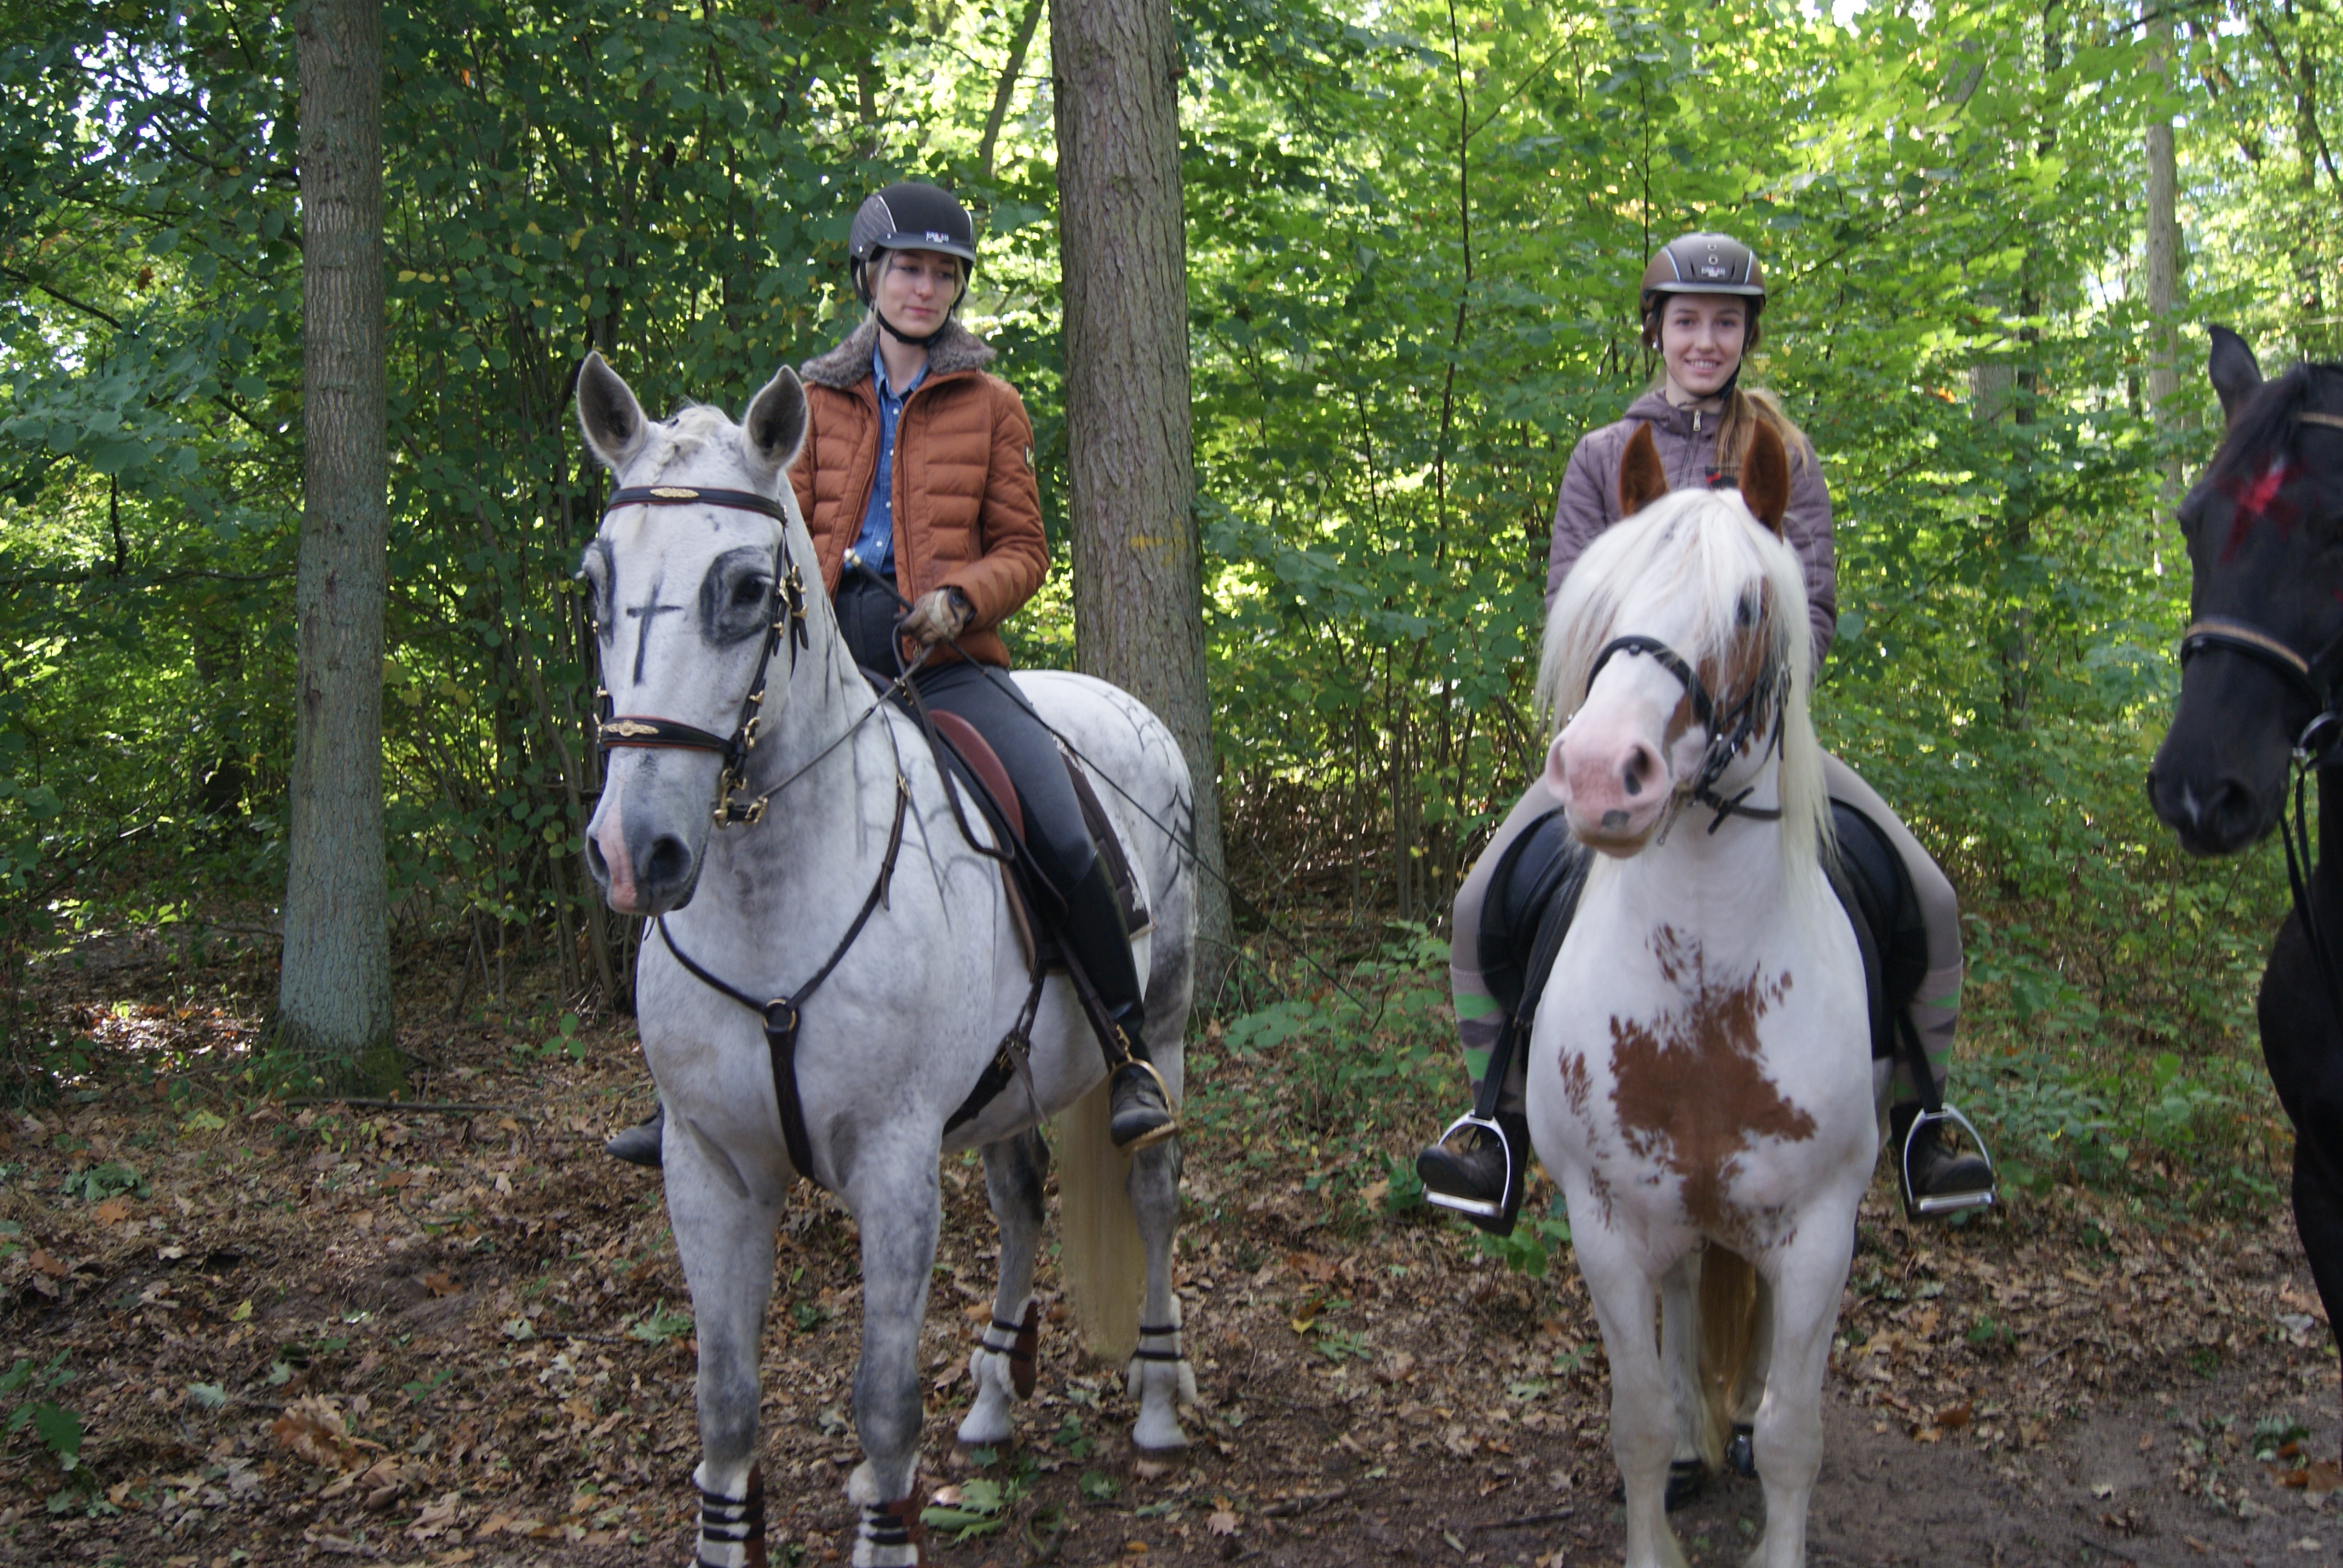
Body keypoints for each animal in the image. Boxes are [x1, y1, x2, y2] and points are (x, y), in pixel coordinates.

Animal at [571, 351, 1200, 1567]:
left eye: (744, 589)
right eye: (594, 584)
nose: (636, 852)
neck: (773, 900)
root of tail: (1126, 710)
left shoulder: (893, 1168)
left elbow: (881, 1403)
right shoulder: (709, 1170)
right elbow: (725, 1407)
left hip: (1167, 1028)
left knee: (1150, 1188)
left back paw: (1155, 1398)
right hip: (1009, 1086)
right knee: (1021, 1200)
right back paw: (995, 1398)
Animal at [1522, 422, 1879, 1568]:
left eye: (1747, 609)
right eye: (1602, 599)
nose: (1602, 773)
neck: (1704, 993)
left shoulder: (1819, 1228)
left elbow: (1795, 1433)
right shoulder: (1605, 1222)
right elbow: (1634, 1417)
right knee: (1683, 1306)